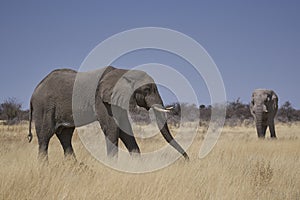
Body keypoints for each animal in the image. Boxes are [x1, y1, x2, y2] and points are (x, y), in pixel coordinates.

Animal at [28, 66, 188, 162]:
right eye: (147, 89)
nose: (187, 159)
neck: (123, 72)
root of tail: (34, 90)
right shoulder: (101, 100)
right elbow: (112, 128)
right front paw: (113, 166)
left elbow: (125, 130)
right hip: (44, 107)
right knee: (45, 136)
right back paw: (45, 168)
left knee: (65, 136)